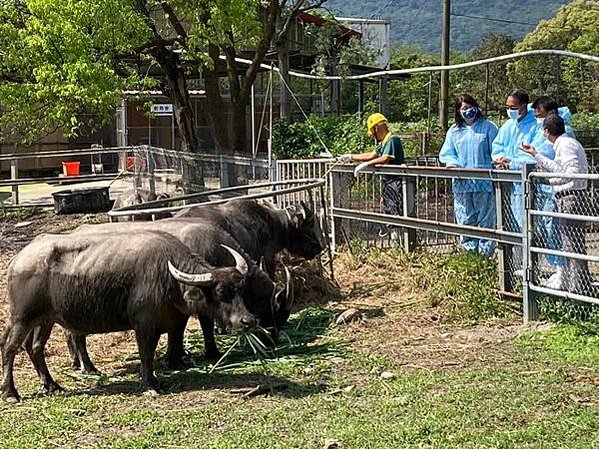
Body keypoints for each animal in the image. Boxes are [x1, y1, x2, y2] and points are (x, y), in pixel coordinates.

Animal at [0, 229, 255, 400]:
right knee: (10, 348)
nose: (249, 320)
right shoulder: (143, 324)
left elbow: (161, 348)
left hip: (44, 320)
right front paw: (150, 385)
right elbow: (145, 354)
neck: (167, 278)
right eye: (220, 291)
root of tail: (17, 260)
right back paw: (11, 392)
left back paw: (52, 385)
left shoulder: (166, 323)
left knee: (34, 347)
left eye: (240, 289)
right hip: (21, 318)